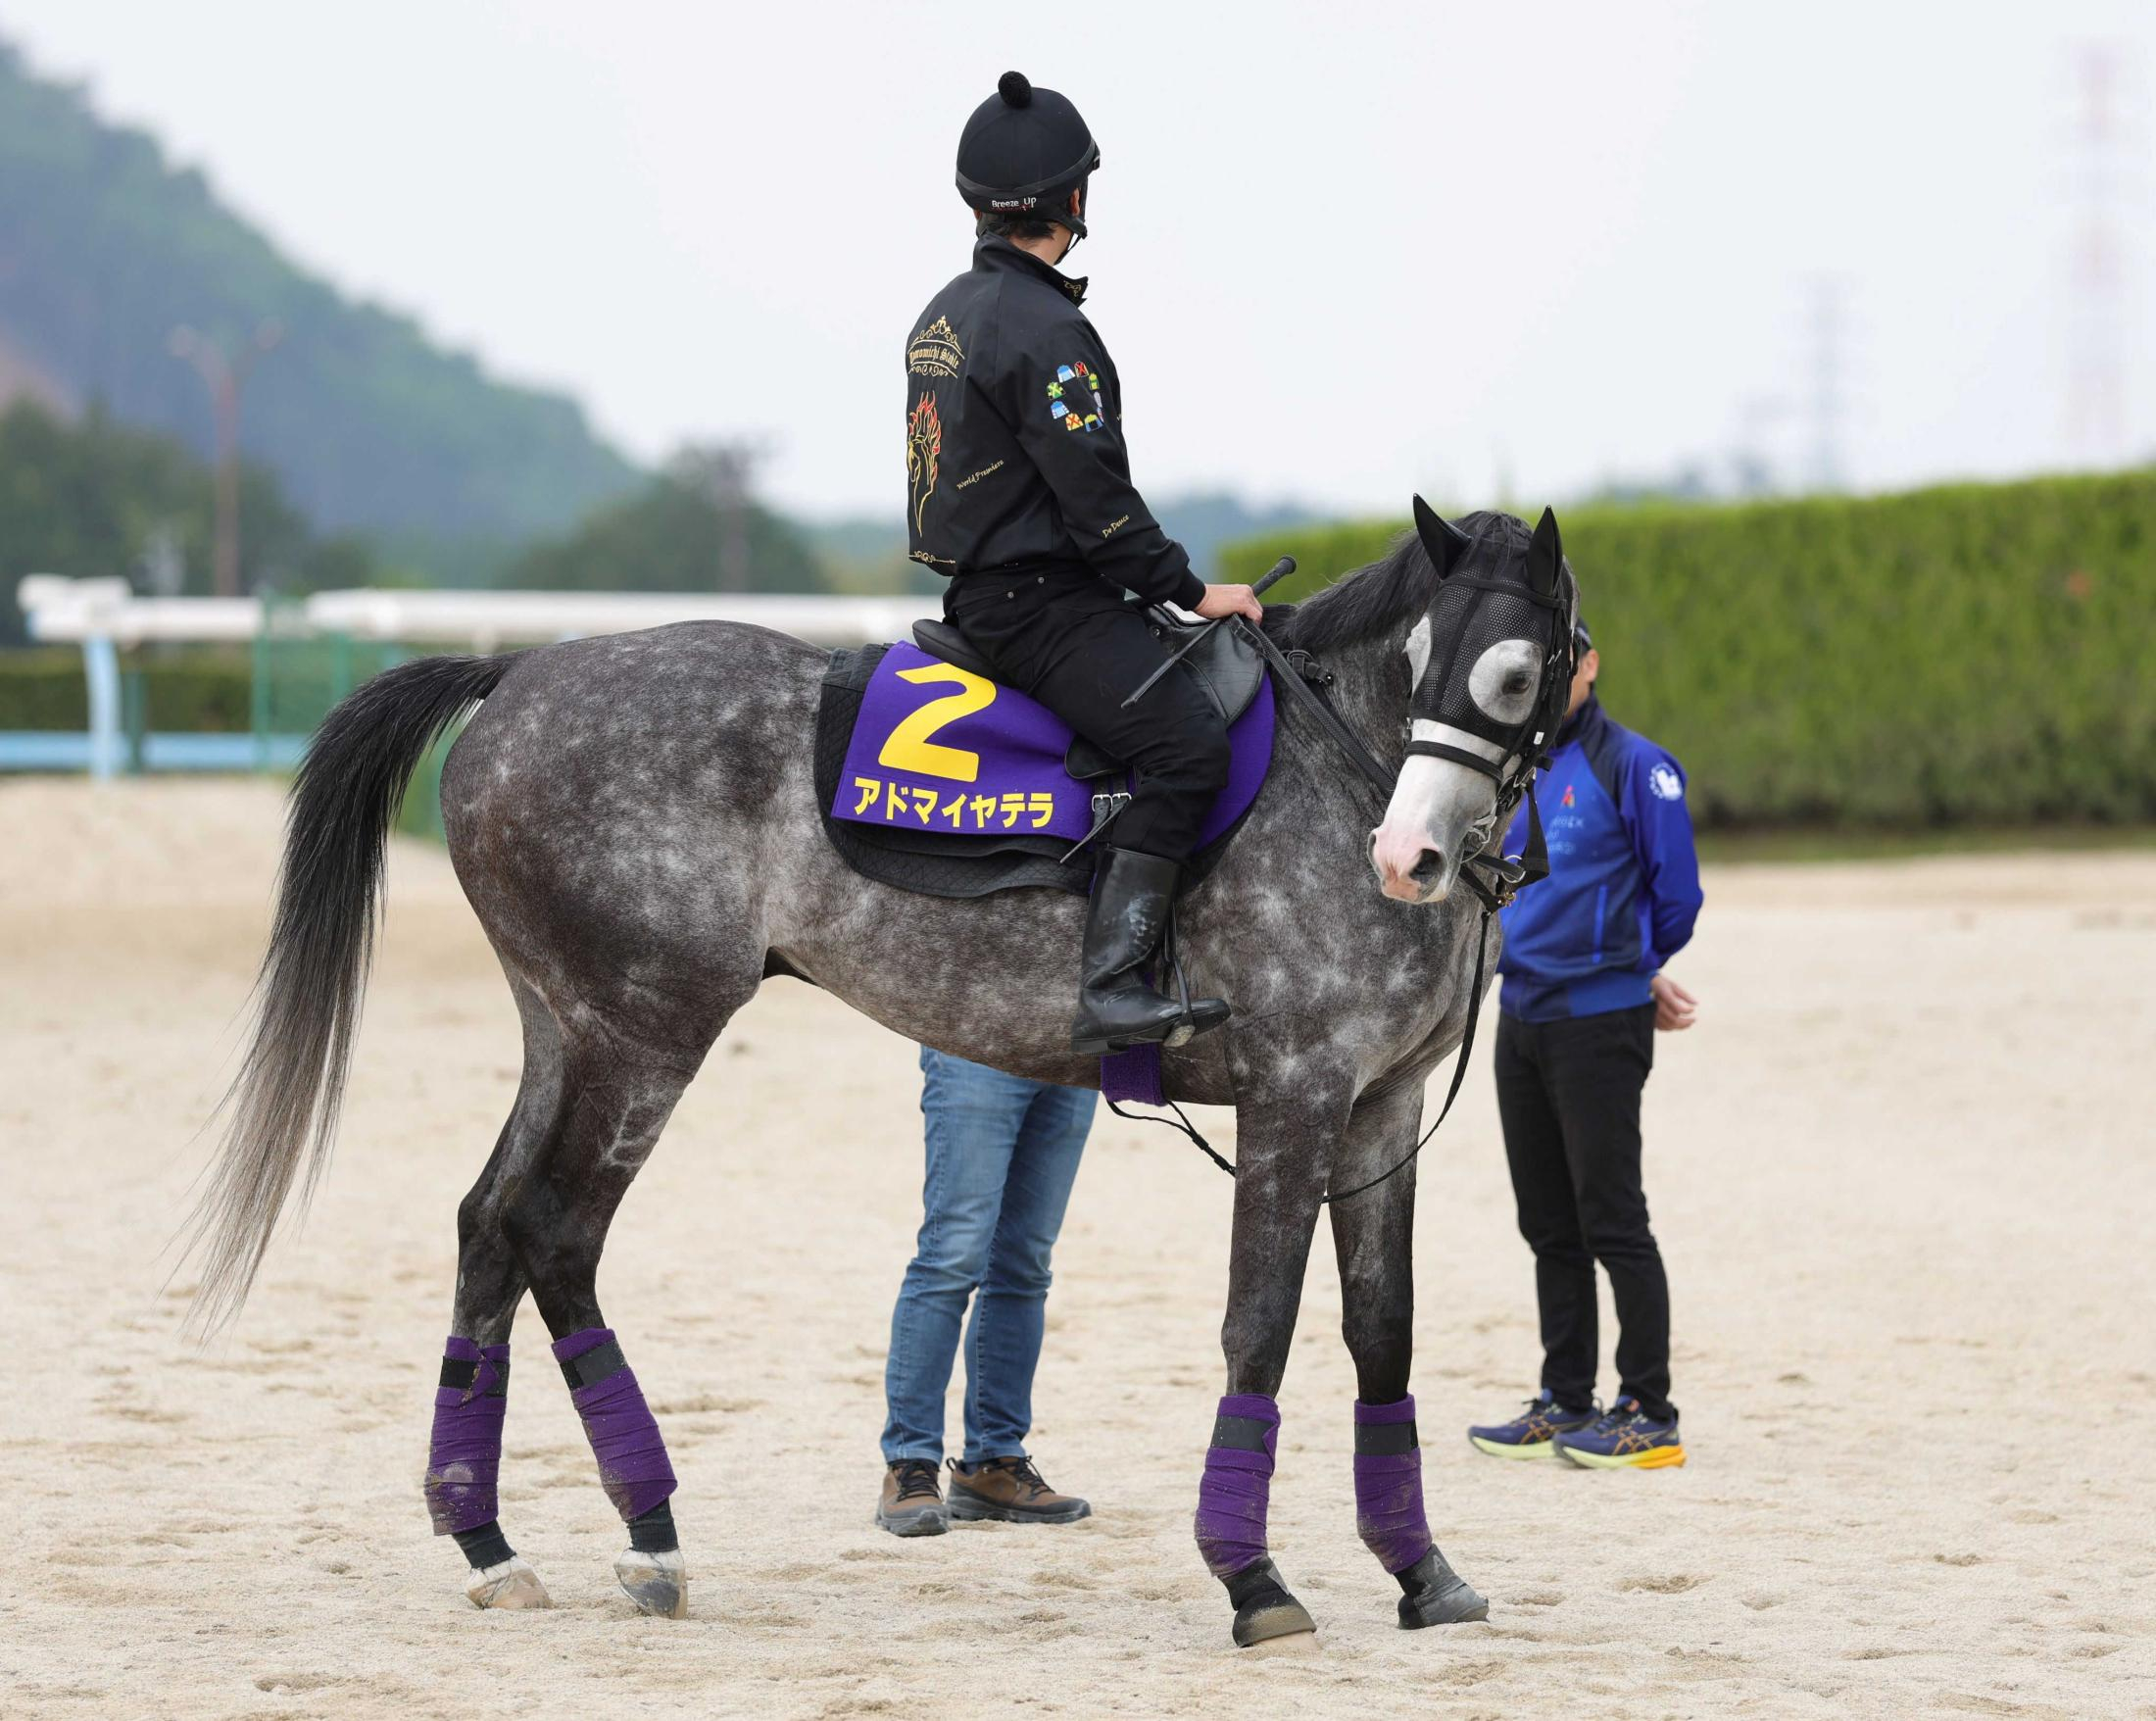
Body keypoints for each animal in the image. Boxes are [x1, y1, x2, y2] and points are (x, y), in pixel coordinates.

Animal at [184, 501, 1576, 1648]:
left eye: (1514, 672)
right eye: (1425, 664)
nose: (1408, 857)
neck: (1340, 769)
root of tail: (521, 669)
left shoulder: (1379, 1112)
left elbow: (1383, 1332)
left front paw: (1420, 1571)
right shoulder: (1296, 1099)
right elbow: (1261, 1328)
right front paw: (1253, 1578)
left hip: (564, 1033)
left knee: (487, 1225)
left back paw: (489, 1543)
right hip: (645, 1036)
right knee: (553, 1232)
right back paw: (651, 1537)